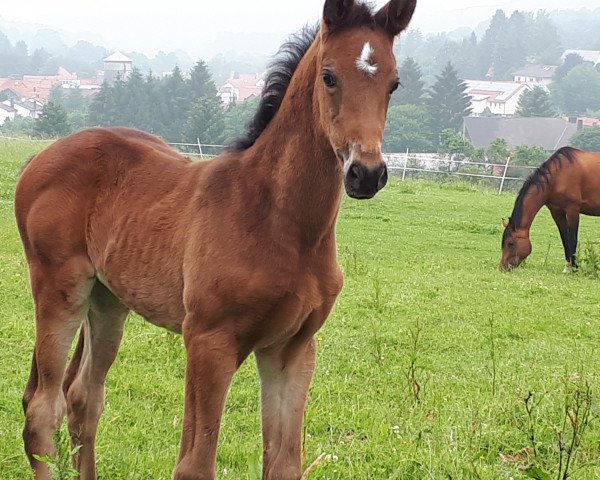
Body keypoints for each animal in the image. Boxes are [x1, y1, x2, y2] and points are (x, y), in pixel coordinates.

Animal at [15, 0, 418, 480]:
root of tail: (40, 157)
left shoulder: (293, 350)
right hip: (60, 289)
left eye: (394, 83)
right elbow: (195, 464)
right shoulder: (209, 341)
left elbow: (284, 464)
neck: (282, 223)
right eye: (329, 75)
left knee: (83, 399)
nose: (366, 173)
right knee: (43, 409)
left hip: (108, 299)